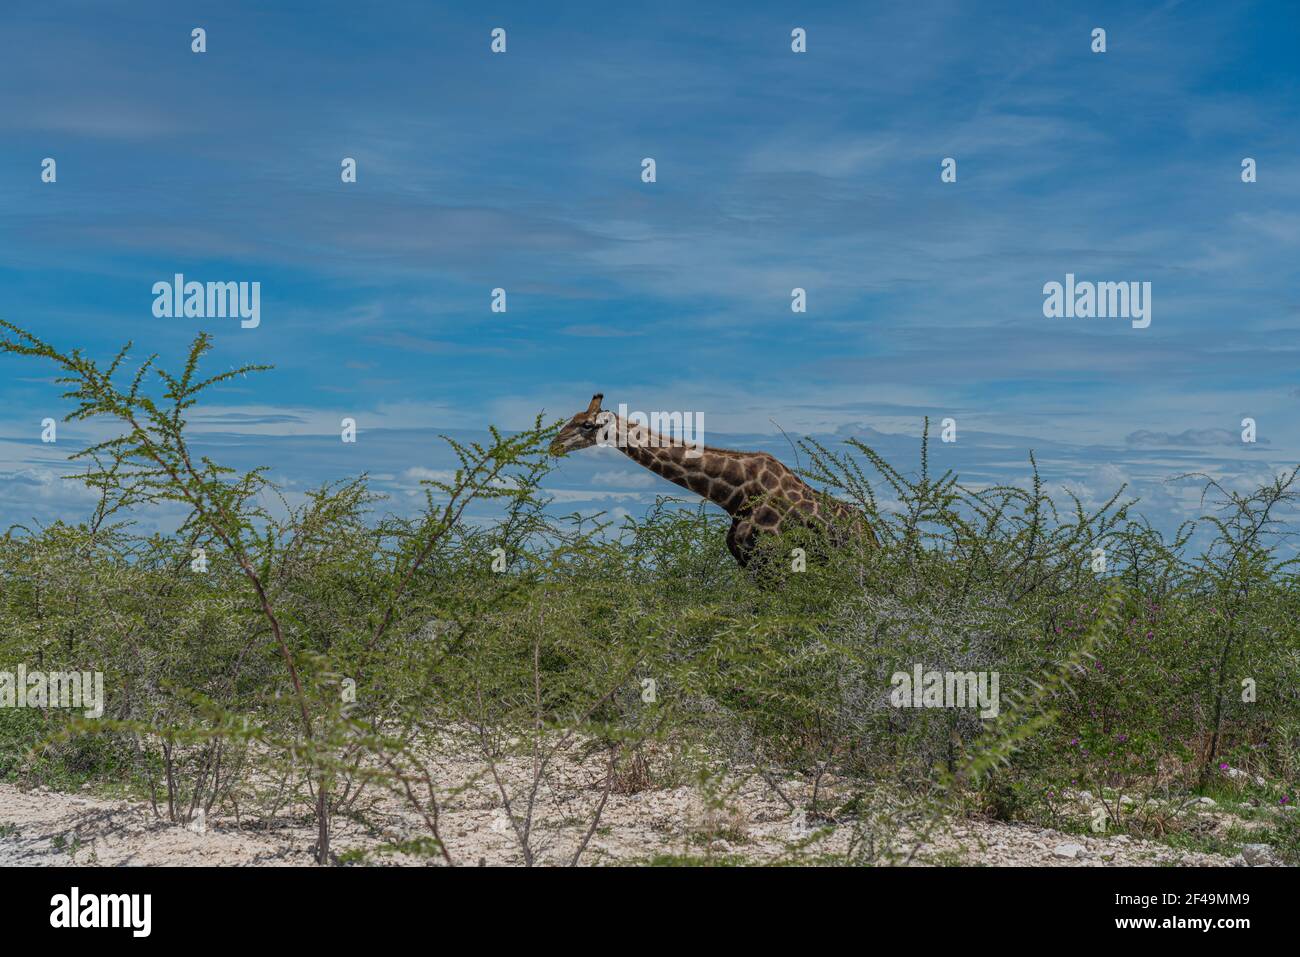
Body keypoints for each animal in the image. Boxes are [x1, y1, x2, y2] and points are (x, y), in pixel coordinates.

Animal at [549, 394, 876, 567]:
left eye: (587, 425)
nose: (553, 445)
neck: (734, 494)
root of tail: (872, 534)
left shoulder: (771, 561)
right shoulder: (746, 562)